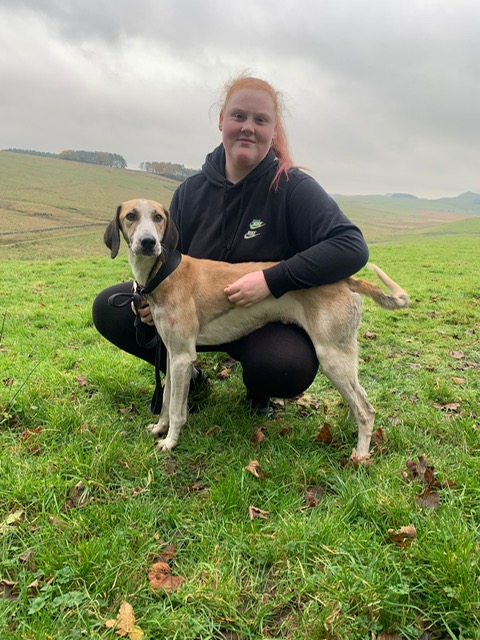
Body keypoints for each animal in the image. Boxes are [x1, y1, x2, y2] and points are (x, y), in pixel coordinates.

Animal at [104, 198, 409, 458]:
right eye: (130, 216)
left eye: (158, 217)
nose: (148, 242)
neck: (164, 272)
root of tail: (346, 280)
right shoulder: (171, 355)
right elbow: (167, 400)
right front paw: (159, 428)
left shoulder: (182, 357)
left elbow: (177, 410)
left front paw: (170, 442)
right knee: (359, 401)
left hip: (332, 357)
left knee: (366, 410)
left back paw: (361, 455)